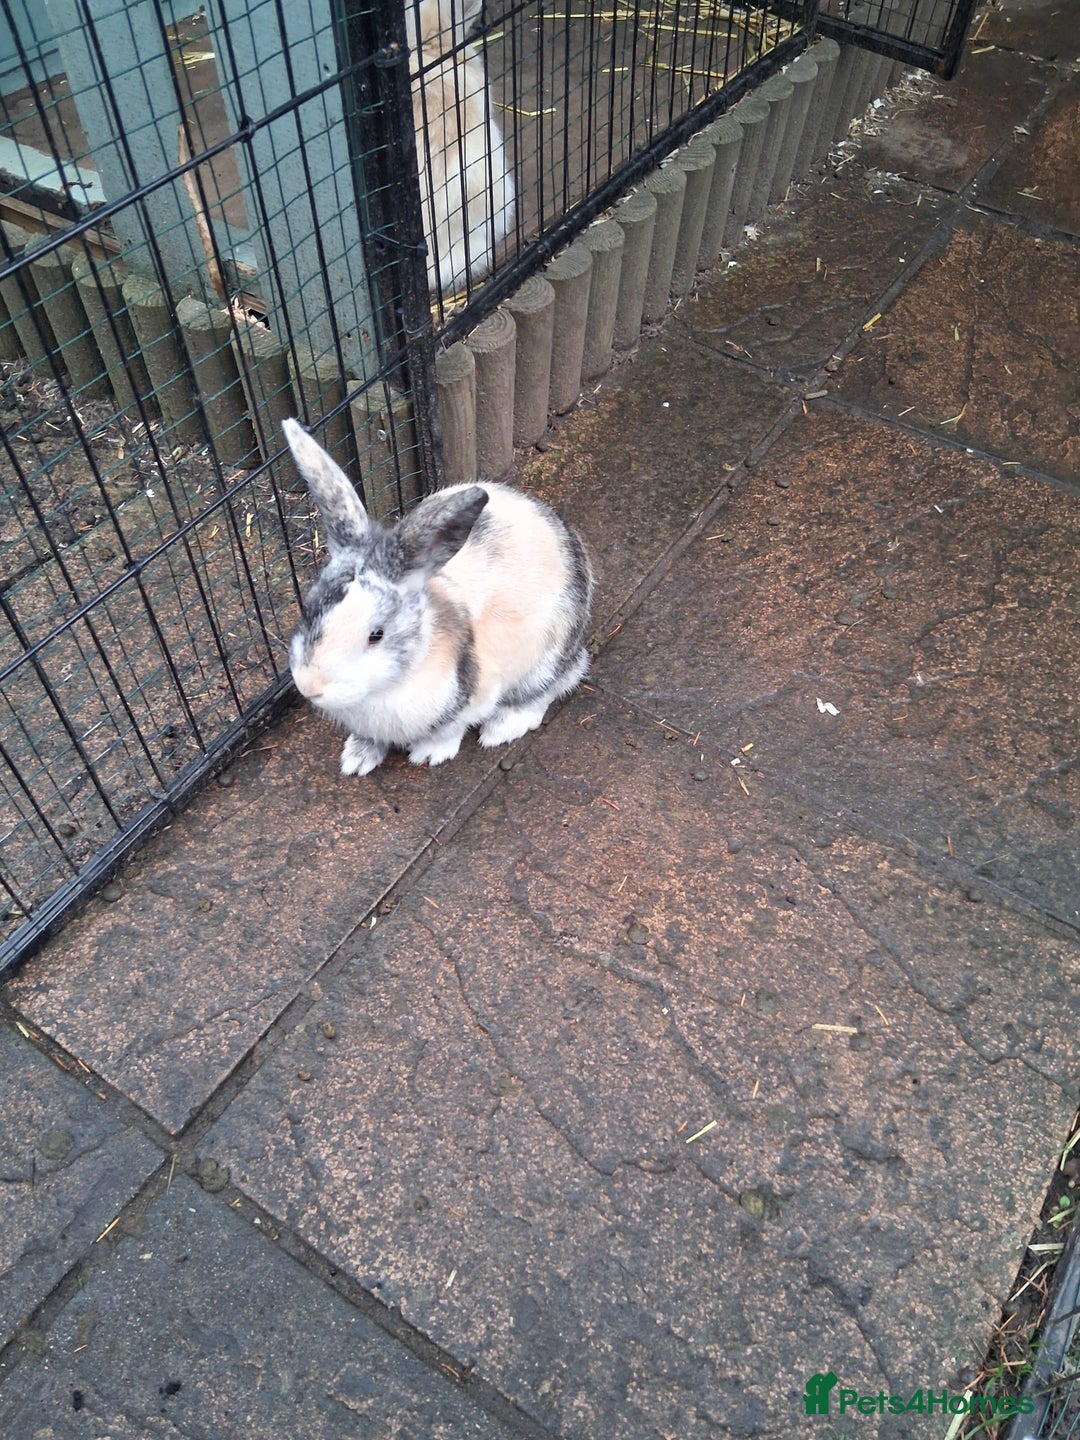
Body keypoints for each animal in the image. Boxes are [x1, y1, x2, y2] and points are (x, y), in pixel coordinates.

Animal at [282, 418, 594, 777]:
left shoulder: (477, 696)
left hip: (547, 657)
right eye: (308, 607)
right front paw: (357, 759)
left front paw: (429, 754)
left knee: (554, 685)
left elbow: (451, 730)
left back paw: (501, 729)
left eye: (376, 635)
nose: (309, 686)